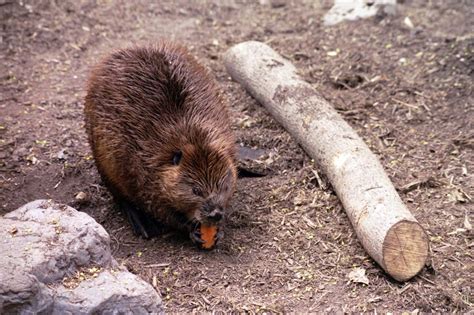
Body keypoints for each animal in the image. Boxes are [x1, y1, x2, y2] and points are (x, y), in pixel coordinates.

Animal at [84, 42, 237, 249]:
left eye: (223, 186)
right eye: (195, 190)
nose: (215, 214)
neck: (191, 135)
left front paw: (218, 231)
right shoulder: (141, 171)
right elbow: (159, 209)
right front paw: (193, 231)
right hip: (103, 156)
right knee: (118, 194)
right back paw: (141, 224)